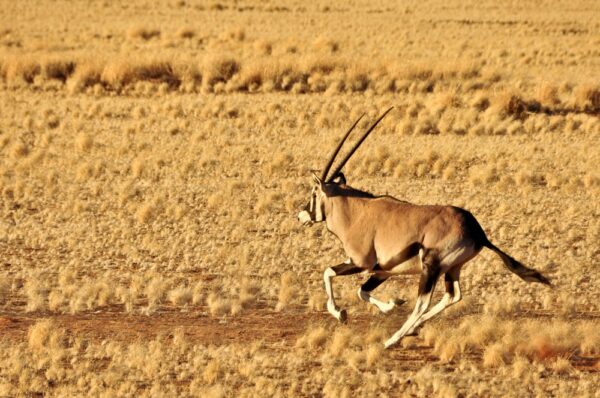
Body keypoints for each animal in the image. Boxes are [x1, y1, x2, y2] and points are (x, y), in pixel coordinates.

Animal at [298, 108, 552, 348]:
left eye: (313, 193)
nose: (301, 215)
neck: (355, 212)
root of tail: (476, 230)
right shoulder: (383, 270)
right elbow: (362, 291)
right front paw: (391, 305)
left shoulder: (362, 263)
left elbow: (328, 272)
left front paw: (340, 313)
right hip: (452, 268)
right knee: (453, 296)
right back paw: (413, 329)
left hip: (431, 267)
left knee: (423, 303)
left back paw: (392, 340)